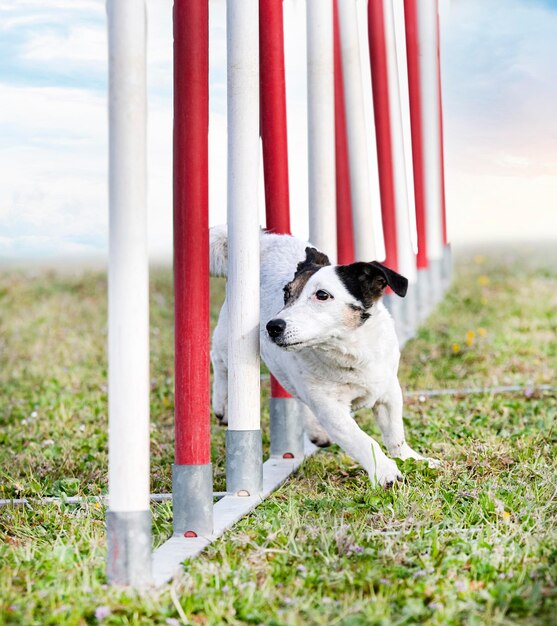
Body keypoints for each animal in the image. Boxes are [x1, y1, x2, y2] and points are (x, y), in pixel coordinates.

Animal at [210, 225, 438, 488]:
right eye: (286, 294)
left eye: (322, 295)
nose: (272, 327)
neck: (351, 353)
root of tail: (265, 241)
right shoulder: (332, 410)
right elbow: (363, 440)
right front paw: (385, 472)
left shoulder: (388, 393)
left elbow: (395, 434)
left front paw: (414, 459)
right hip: (229, 337)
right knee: (219, 360)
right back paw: (223, 405)